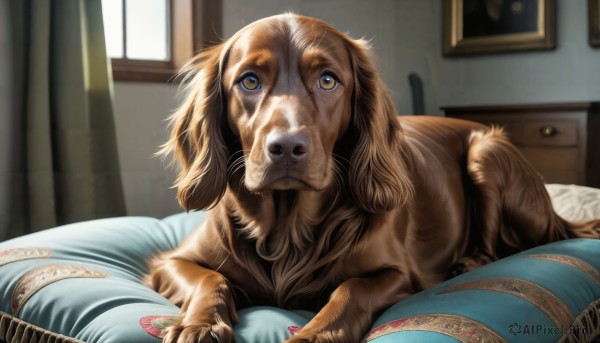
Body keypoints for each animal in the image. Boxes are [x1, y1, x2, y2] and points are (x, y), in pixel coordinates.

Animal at [146, 14, 600, 343]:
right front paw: (199, 324)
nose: (287, 147)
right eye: (249, 80)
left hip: (486, 153)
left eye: (328, 80)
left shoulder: (399, 275)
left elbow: (351, 290)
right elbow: (210, 279)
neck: (288, 226)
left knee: (499, 245)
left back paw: (469, 262)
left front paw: (314, 335)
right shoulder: (171, 260)